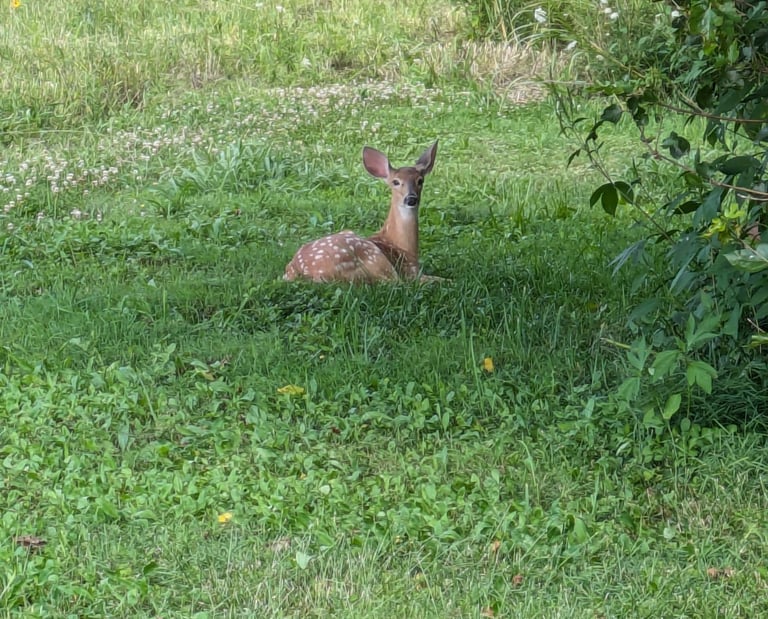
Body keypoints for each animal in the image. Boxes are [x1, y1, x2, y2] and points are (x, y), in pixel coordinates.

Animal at [283, 141, 440, 284]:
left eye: (420, 180)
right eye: (395, 182)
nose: (411, 199)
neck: (403, 247)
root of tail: (296, 271)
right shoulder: (410, 272)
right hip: (375, 257)